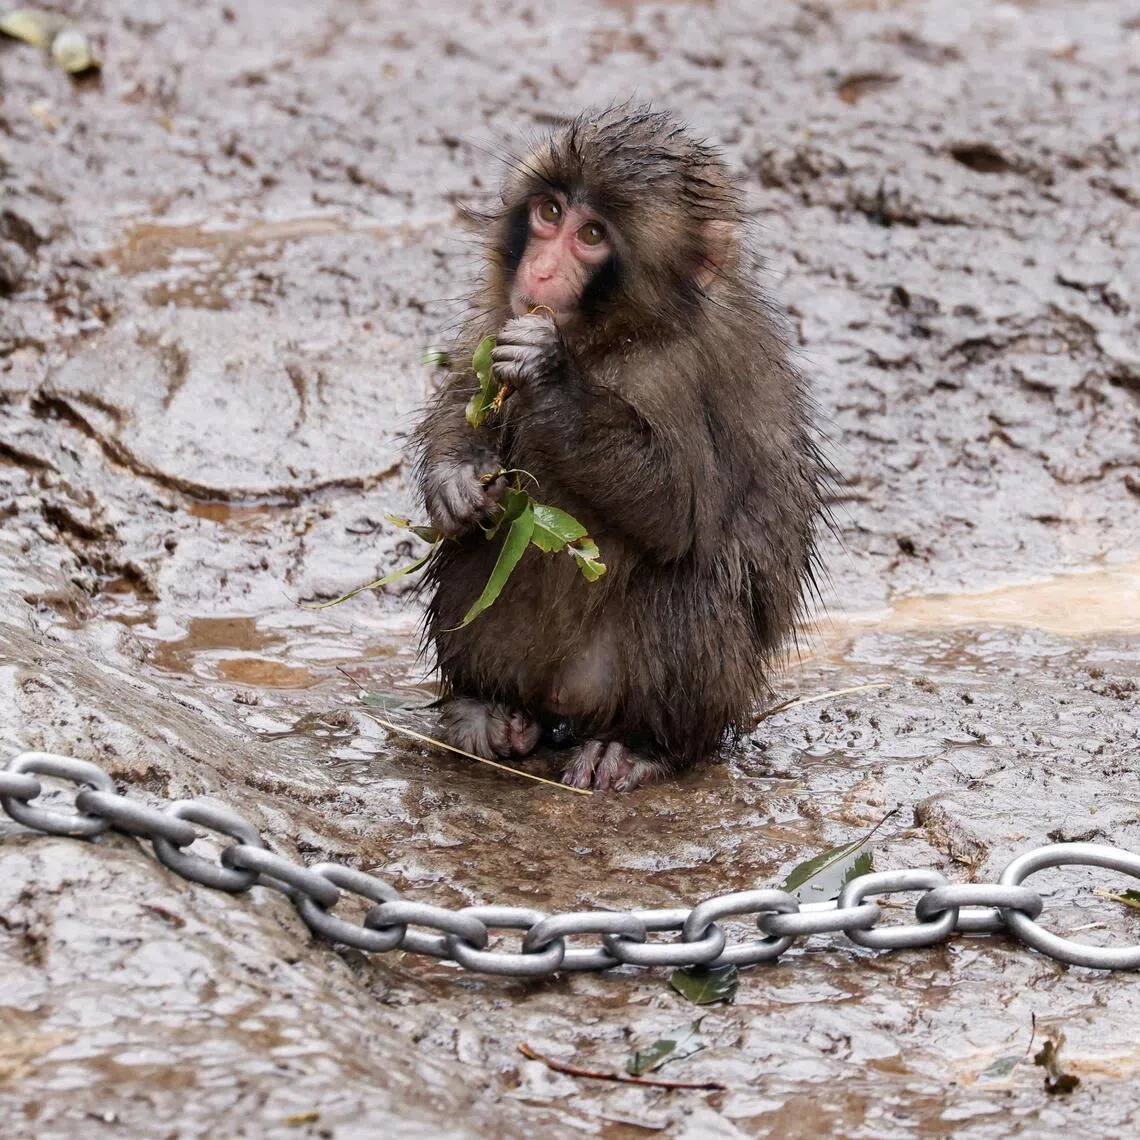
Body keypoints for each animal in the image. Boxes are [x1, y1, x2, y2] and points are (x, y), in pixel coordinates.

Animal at [413, 104, 826, 792]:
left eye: (591, 235)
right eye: (549, 212)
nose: (540, 272)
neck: (612, 337)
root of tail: (562, 703)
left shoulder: (678, 373)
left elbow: (679, 512)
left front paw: (551, 380)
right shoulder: (500, 312)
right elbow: (469, 397)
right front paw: (454, 482)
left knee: (686, 588)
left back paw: (640, 745)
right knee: (485, 543)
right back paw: (486, 707)